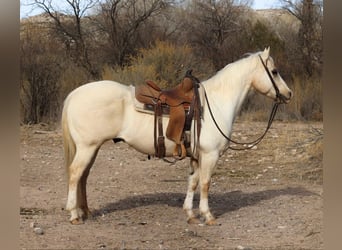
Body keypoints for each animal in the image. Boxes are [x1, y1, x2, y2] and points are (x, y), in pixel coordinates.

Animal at [62, 47, 292, 225]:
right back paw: (74, 214)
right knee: (75, 174)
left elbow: (193, 182)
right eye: (274, 71)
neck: (216, 103)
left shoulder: (197, 156)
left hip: (92, 148)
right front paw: (208, 215)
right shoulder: (210, 155)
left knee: (83, 177)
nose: (288, 94)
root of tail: (74, 94)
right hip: (87, 147)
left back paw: (85, 211)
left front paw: (190, 214)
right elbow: (205, 183)